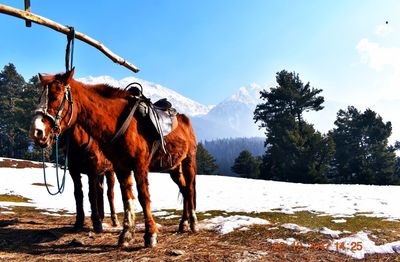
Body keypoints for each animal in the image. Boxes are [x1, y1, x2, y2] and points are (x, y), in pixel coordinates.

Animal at [28, 68, 198, 248]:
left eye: (55, 96)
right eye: (39, 98)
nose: (36, 131)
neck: (118, 123)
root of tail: (184, 119)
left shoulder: (139, 166)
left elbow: (143, 197)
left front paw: (150, 234)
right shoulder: (120, 167)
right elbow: (126, 198)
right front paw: (126, 234)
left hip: (188, 162)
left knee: (190, 189)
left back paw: (193, 223)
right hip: (173, 168)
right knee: (184, 189)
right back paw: (183, 223)